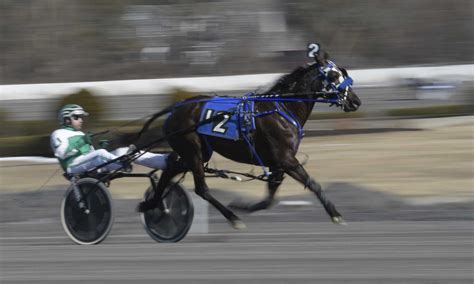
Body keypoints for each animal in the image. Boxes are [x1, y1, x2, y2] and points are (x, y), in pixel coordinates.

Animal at [139, 51, 362, 229]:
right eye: (333, 75)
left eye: (343, 73)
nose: (355, 101)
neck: (283, 108)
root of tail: (176, 109)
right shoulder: (286, 160)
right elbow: (313, 184)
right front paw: (335, 214)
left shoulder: (276, 164)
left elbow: (269, 198)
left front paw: (242, 205)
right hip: (192, 152)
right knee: (201, 188)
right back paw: (232, 218)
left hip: (197, 153)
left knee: (169, 171)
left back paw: (152, 205)